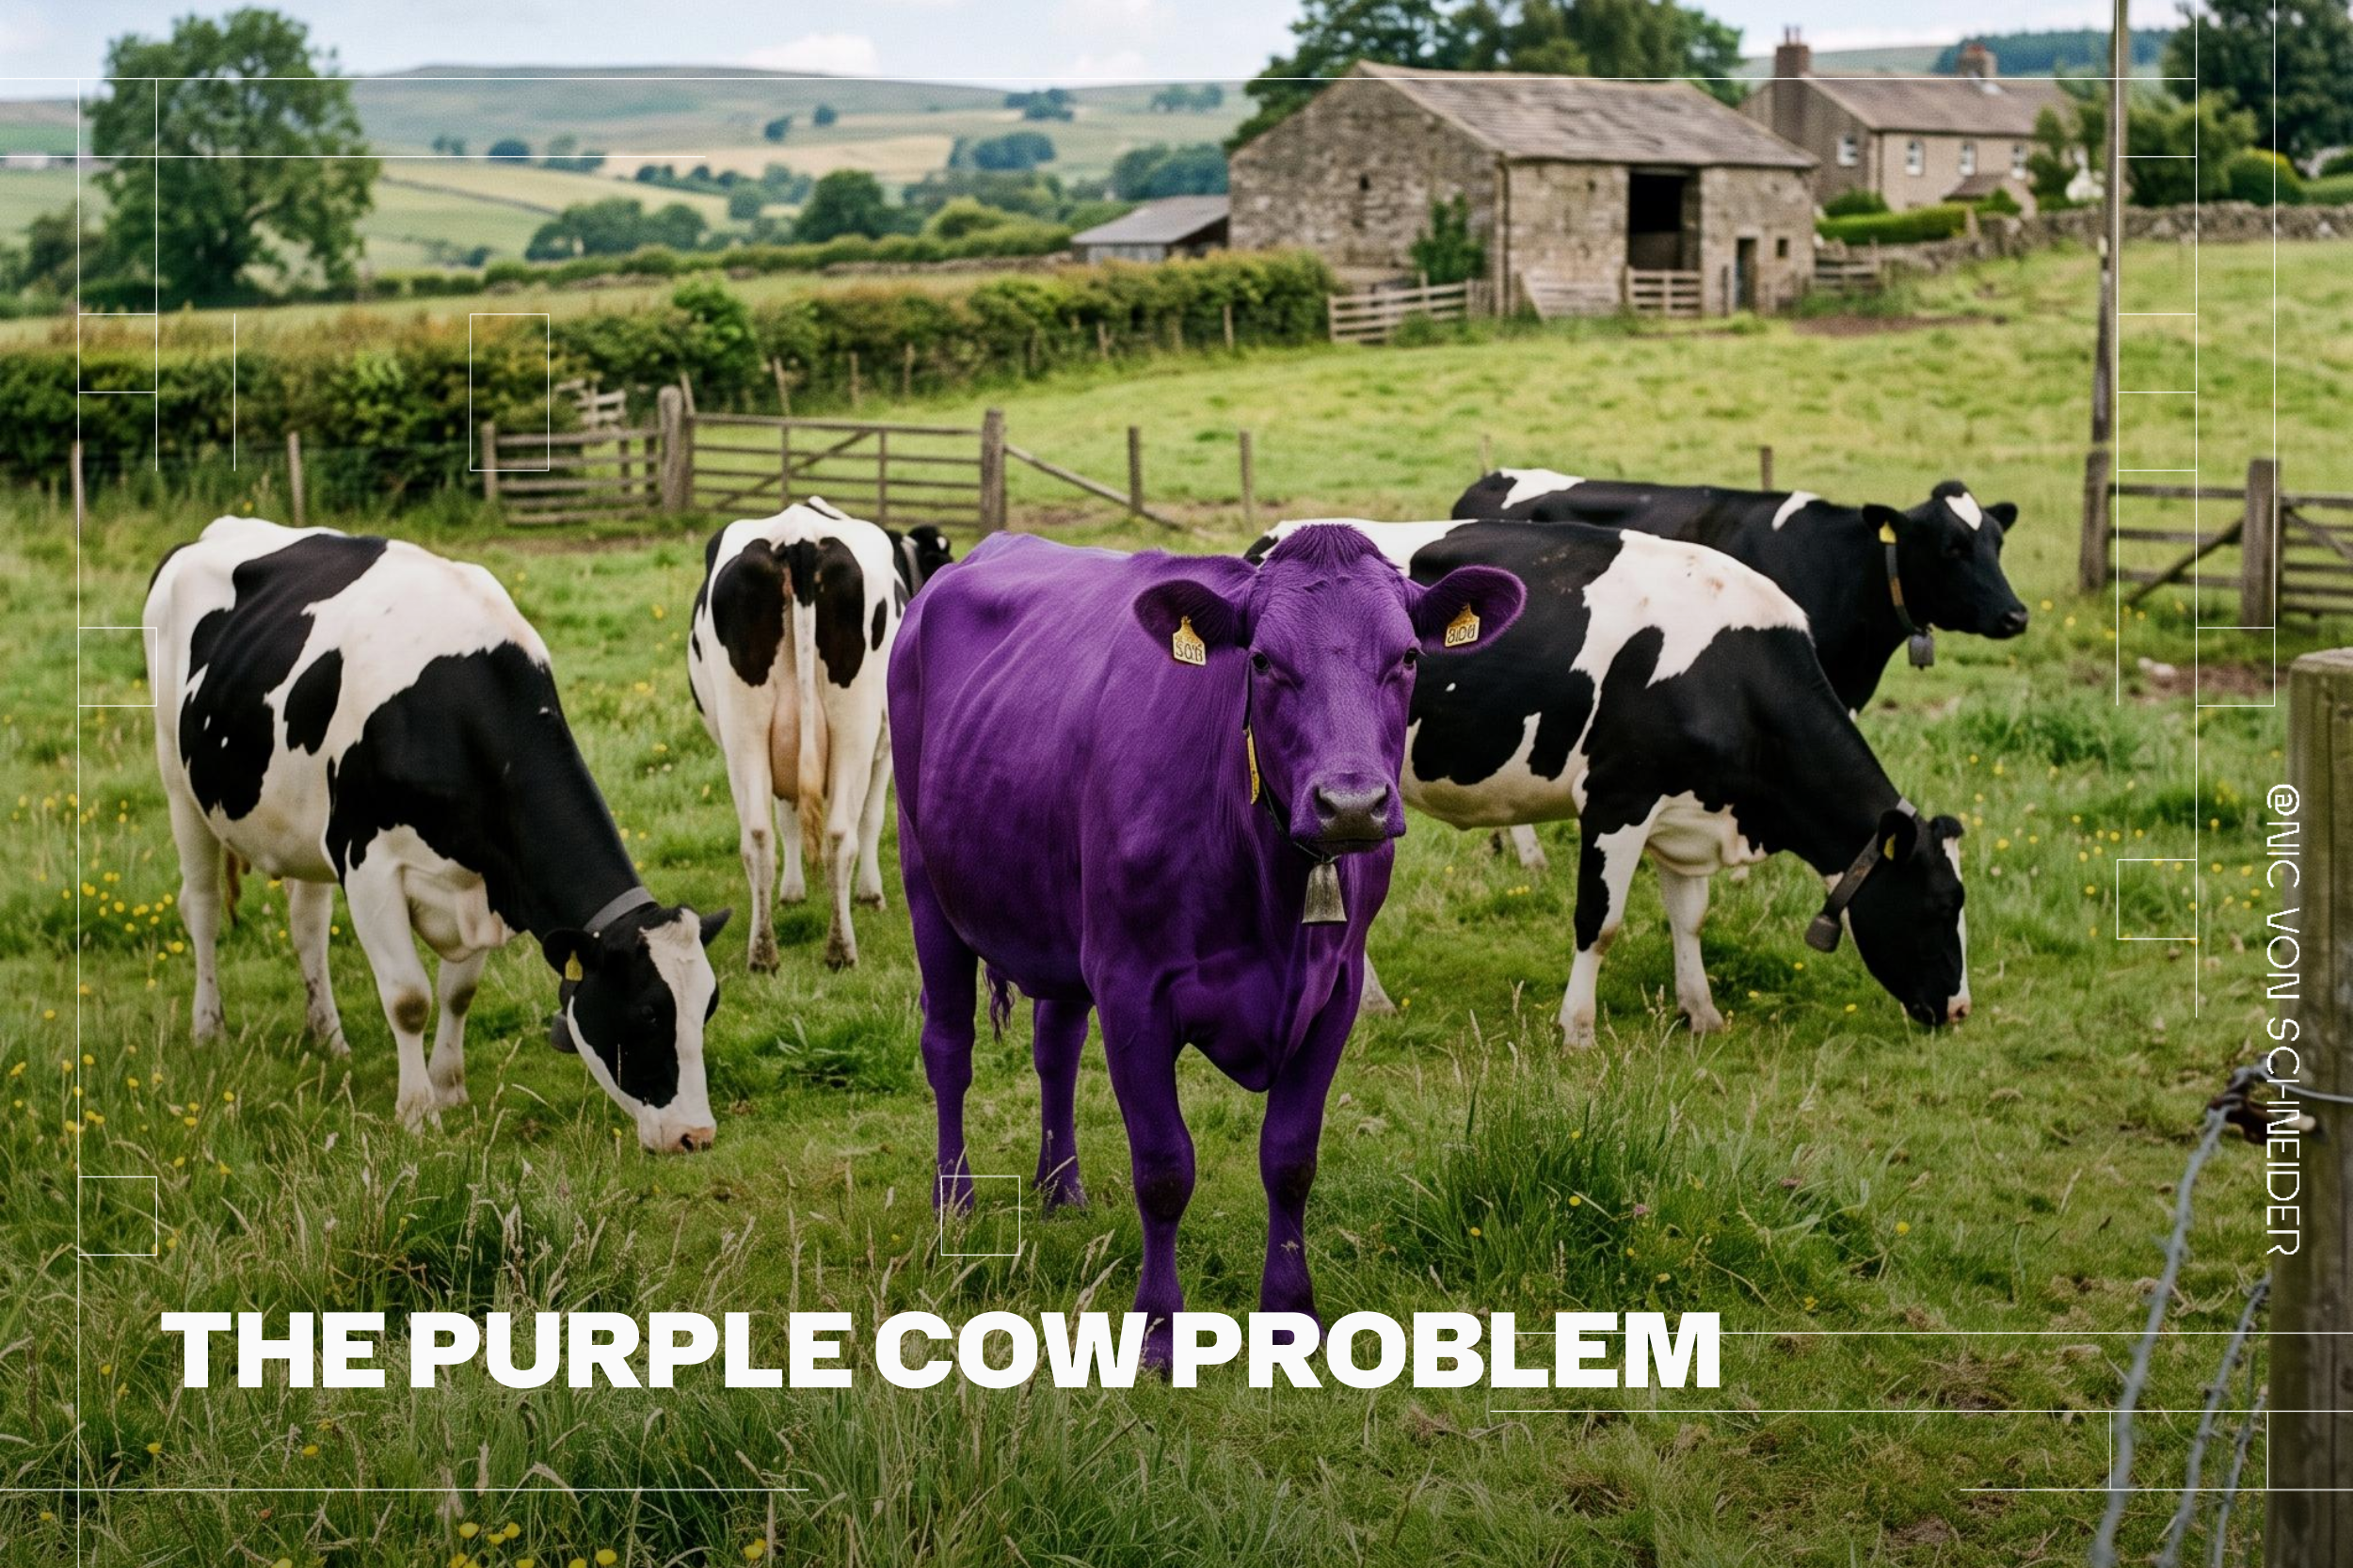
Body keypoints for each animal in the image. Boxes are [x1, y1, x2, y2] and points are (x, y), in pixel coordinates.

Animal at [146, 517, 731, 1153]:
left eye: (708, 1008)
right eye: (648, 1013)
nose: (696, 1134)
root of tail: (212, 532)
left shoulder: (485, 883)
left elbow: (458, 993)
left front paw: (449, 1088)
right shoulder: (369, 865)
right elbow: (409, 999)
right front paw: (418, 1111)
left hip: (302, 824)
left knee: (307, 926)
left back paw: (328, 1036)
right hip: (179, 785)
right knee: (202, 908)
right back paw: (210, 1028)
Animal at [688, 501, 947, 973]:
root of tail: (800, 537)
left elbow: (788, 820)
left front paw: (791, 892)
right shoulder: (884, 749)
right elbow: (871, 819)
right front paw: (871, 894)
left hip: (744, 732)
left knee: (758, 836)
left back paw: (763, 953)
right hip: (855, 730)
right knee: (842, 833)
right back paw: (840, 949)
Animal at [891, 527, 1523, 1361]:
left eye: (1410, 658)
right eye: (1262, 661)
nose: (1351, 804)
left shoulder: (1336, 989)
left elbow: (1291, 1159)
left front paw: (1292, 1316)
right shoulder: (1132, 987)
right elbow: (1164, 1169)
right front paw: (1159, 1332)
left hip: (1060, 919)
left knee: (1055, 1045)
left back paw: (1062, 1190)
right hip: (926, 885)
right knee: (948, 1048)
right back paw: (955, 1203)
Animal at [1253, 519, 1970, 1045]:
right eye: (1942, 906)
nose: (1960, 1010)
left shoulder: (1685, 810)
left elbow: (1691, 919)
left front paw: (1701, 1011)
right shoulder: (1617, 800)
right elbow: (1600, 923)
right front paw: (1577, 1029)